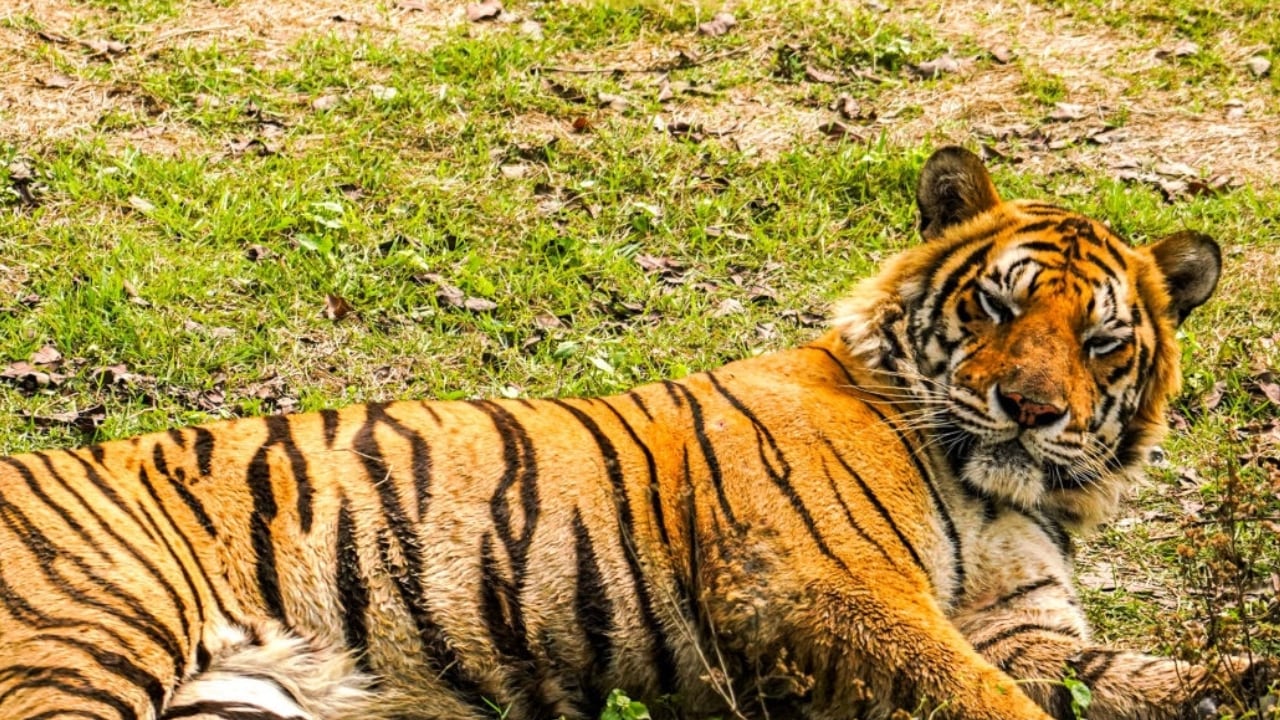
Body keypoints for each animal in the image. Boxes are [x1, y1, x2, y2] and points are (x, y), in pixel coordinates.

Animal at [0, 146, 1268, 720]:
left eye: (1098, 343)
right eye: (999, 308)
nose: (1032, 411)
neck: (1005, 492)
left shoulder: (1021, 627)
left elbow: (1126, 674)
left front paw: (1235, 676)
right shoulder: (818, 586)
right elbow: (984, 698)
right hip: (90, 637)